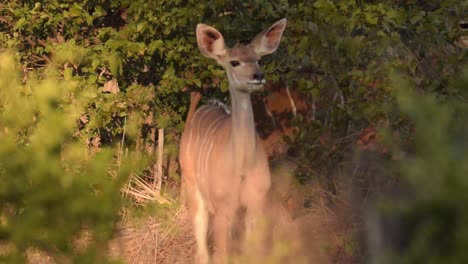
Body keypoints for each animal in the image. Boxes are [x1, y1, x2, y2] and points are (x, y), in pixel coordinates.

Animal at [180, 18, 288, 262]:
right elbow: (221, 256)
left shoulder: (255, 205)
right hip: (193, 188)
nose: (258, 76)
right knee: (202, 250)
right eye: (234, 62)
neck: (241, 167)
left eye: (259, 59)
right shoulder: (222, 209)